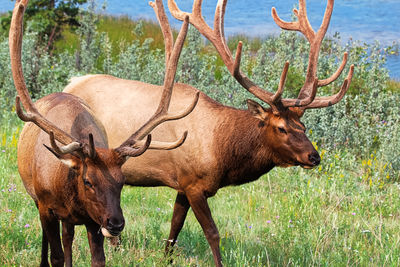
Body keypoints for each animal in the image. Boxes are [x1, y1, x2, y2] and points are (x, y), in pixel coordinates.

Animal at [9, 0, 197, 267]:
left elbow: (97, 259)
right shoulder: (46, 206)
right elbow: (55, 255)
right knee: (50, 242)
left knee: (68, 237)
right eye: (88, 180)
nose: (116, 223)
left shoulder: (92, 219)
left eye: (122, 181)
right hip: (37, 200)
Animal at [64, 0, 354, 266]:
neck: (222, 153)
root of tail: (70, 83)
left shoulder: (182, 184)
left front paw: (166, 259)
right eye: (281, 127)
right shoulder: (194, 184)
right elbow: (212, 233)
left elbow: (175, 227)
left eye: (303, 127)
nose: (313, 156)